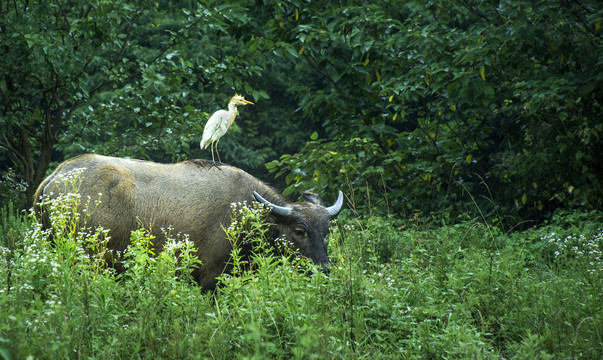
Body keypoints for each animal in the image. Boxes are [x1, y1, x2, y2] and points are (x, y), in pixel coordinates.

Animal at [34, 153, 344, 288]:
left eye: (327, 231)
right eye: (299, 230)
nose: (325, 268)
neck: (246, 210)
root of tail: (53, 179)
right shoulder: (212, 279)